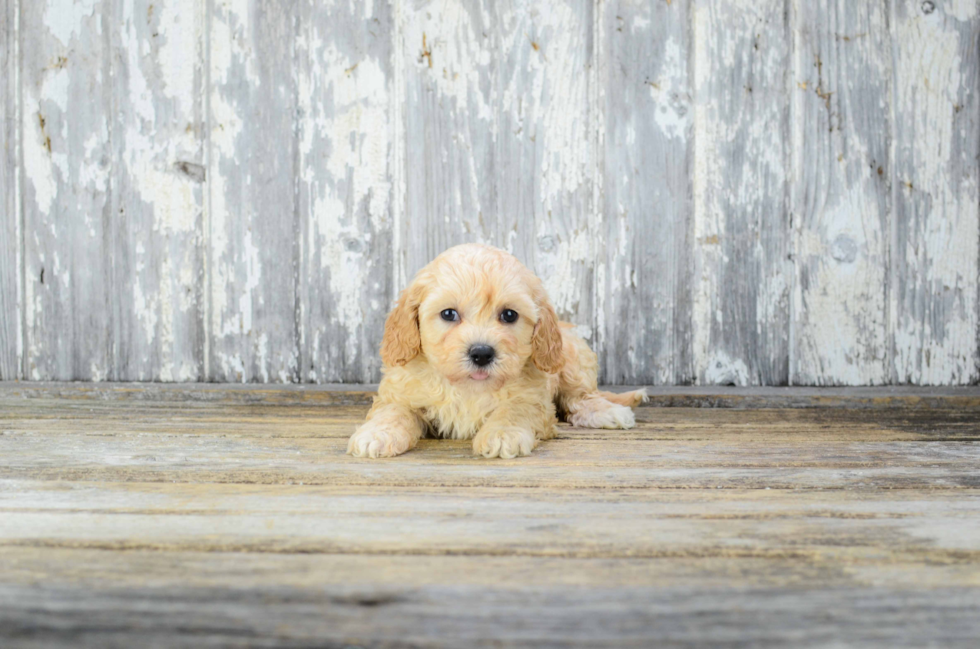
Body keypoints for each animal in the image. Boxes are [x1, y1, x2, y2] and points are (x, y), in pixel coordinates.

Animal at [348, 243, 648, 460]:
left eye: (509, 315)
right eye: (448, 314)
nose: (481, 353)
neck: (468, 388)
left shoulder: (533, 399)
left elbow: (514, 410)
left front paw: (503, 435)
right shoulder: (400, 392)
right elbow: (394, 411)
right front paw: (377, 435)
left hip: (574, 358)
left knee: (579, 398)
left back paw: (609, 412)